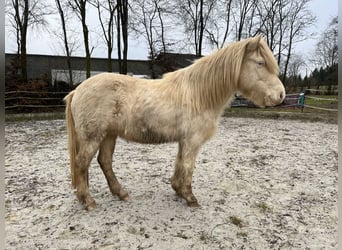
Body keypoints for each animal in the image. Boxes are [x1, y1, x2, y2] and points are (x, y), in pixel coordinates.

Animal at [64, 35, 286, 211]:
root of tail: (77, 90)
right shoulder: (192, 141)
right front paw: (189, 197)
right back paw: (88, 201)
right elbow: (188, 166)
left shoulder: (184, 140)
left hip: (109, 135)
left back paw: (121, 193)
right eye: (260, 63)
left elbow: (180, 163)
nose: (280, 95)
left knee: (105, 162)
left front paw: (178, 190)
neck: (199, 94)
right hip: (93, 137)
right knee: (82, 163)